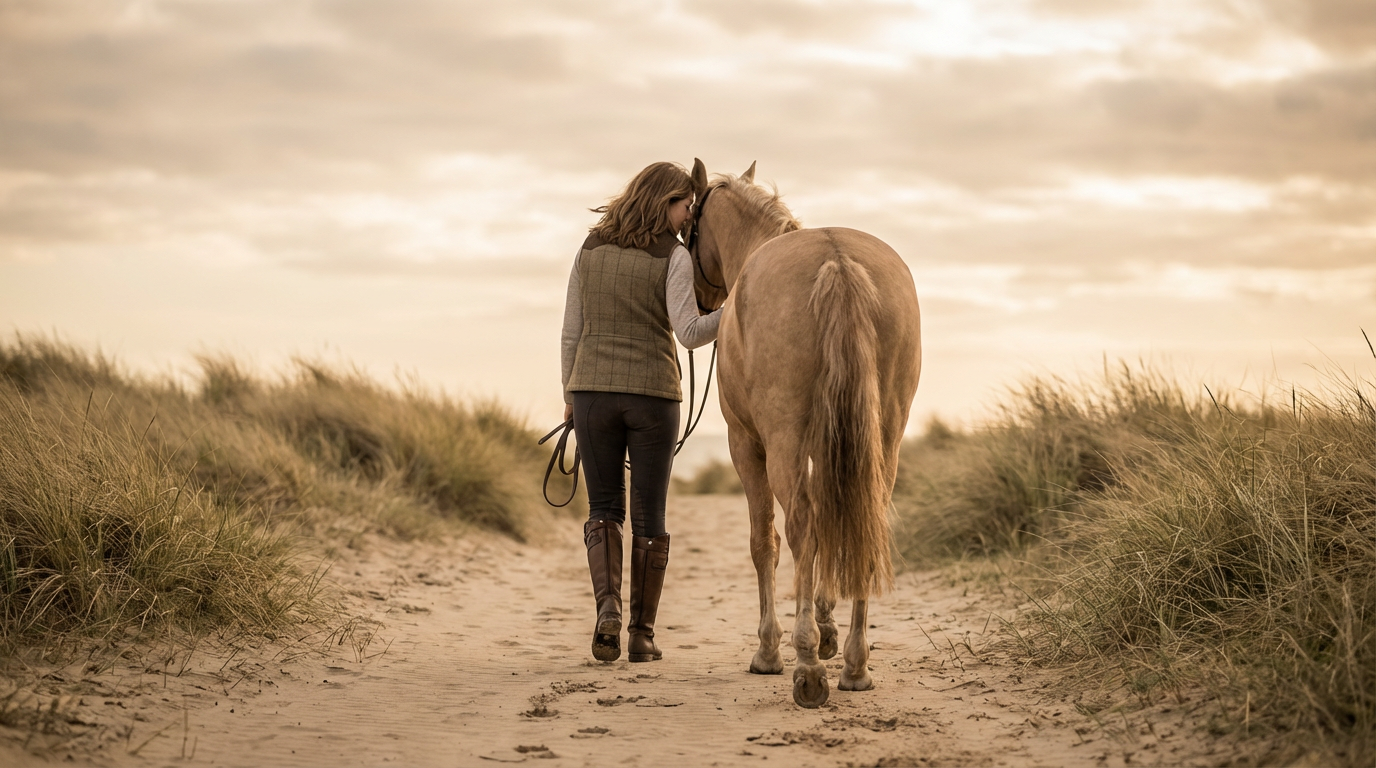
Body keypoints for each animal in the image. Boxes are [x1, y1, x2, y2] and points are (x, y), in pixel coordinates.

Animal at [687, 159, 922, 708]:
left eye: (689, 229)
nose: (703, 302)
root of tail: (836, 262)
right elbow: (835, 530)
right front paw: (827, 627)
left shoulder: (746, 445)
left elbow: (765, 542)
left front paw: (771, 649)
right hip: (885, 437)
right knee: (864, 522)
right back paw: (854, 664)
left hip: (782, 441)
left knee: (800, 527)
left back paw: (806, 668)